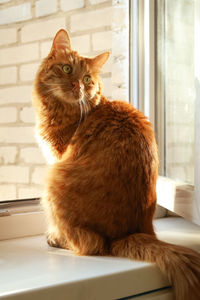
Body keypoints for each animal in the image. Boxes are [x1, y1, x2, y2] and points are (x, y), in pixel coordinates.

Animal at [32, 28, 200, 300]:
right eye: (67, 69)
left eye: (87, 79)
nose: (78, 85)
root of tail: (130, 232)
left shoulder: (56, 157)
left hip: (54, 183)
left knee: (91, 244)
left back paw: (56, 239)